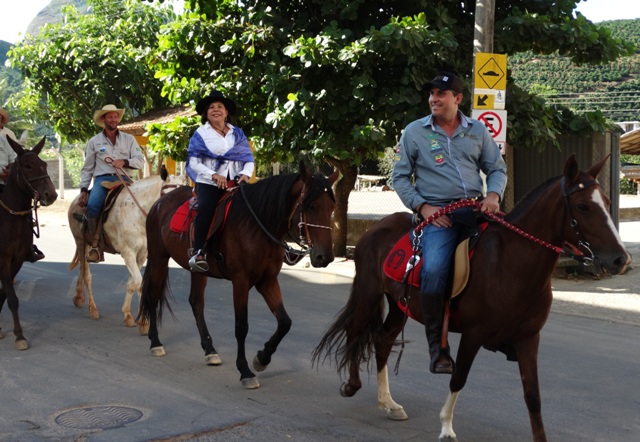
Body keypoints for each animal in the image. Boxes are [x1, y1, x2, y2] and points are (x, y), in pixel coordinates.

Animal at [0, 136, 58, 350]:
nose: (51, 194)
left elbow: (5, 294)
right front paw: (19, 335)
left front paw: (15, 333)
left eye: (43, 164)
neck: (11, 218)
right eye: (27, 165)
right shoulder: (3, 259)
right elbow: (11, 297)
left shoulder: (16, 260)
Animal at [68, 167, 184, 331]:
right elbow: (140, 284)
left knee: (81, 270)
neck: (138, 215)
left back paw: (78, 298)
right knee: (87, 276)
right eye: (167, 196)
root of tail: (77, 200)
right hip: (81, 242)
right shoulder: (128, 253)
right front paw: (143, 322)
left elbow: (132, 283)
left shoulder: (141, 255)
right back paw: (93, 309)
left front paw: (128, 315)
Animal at [138, 162, 338, 389]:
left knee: (196, 302)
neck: (258, 225)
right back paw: (155, 342)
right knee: (153, 296)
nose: (325, 256)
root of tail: (159, 202)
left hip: (198, 271)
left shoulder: (267, 281)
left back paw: (210, 350)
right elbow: (241, 326)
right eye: (311, 206)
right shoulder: (241, 282)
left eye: (332, 207)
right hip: (159, 258)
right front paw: (245, 371)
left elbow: (285, 322)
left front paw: (262, 358)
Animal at [312, 154, 631, 442]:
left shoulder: (529, 338)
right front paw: (446, 427)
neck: (510, 263)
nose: (620, 259)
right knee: (355, 331)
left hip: (399, 306)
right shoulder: (473, 334)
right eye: (583, 206)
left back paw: (388, 403)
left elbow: (533, 396)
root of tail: (377, 228)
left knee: (383, 341)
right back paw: (352, 385)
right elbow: (459, 377)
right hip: (369, 292)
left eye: (608, 203)